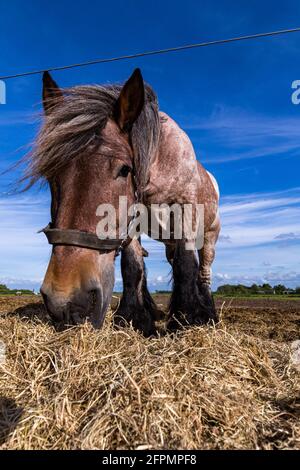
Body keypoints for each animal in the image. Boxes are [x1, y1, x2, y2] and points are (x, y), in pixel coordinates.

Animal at [25, 69, 220, 334]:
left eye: (125, 169)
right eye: (51, 174)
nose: (64, 302)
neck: (159, 162)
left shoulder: (184, 209)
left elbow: (186, 264)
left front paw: (190, 318)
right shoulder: (132, 221)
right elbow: (133, 266)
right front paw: (135, 318)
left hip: (209, 237)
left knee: (204, 272)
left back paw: (208, 310)